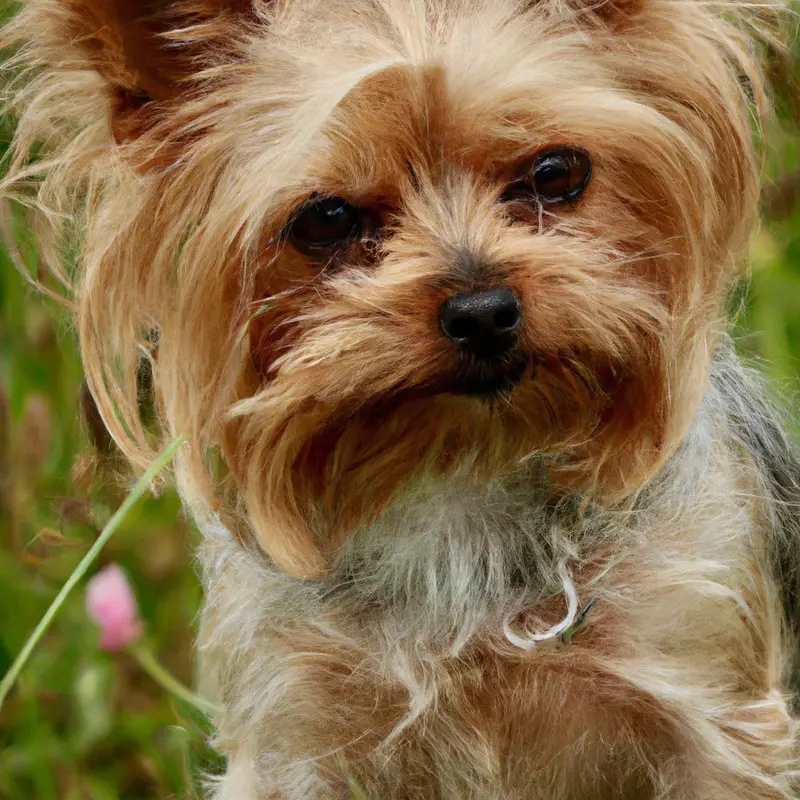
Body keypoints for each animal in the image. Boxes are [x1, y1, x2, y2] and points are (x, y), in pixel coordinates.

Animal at [4, 1, 800, 792]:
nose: (482, 310)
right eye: (325, 220)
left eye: (555, 173)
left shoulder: (710, 695)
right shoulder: (297, 736)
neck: (462, 475)